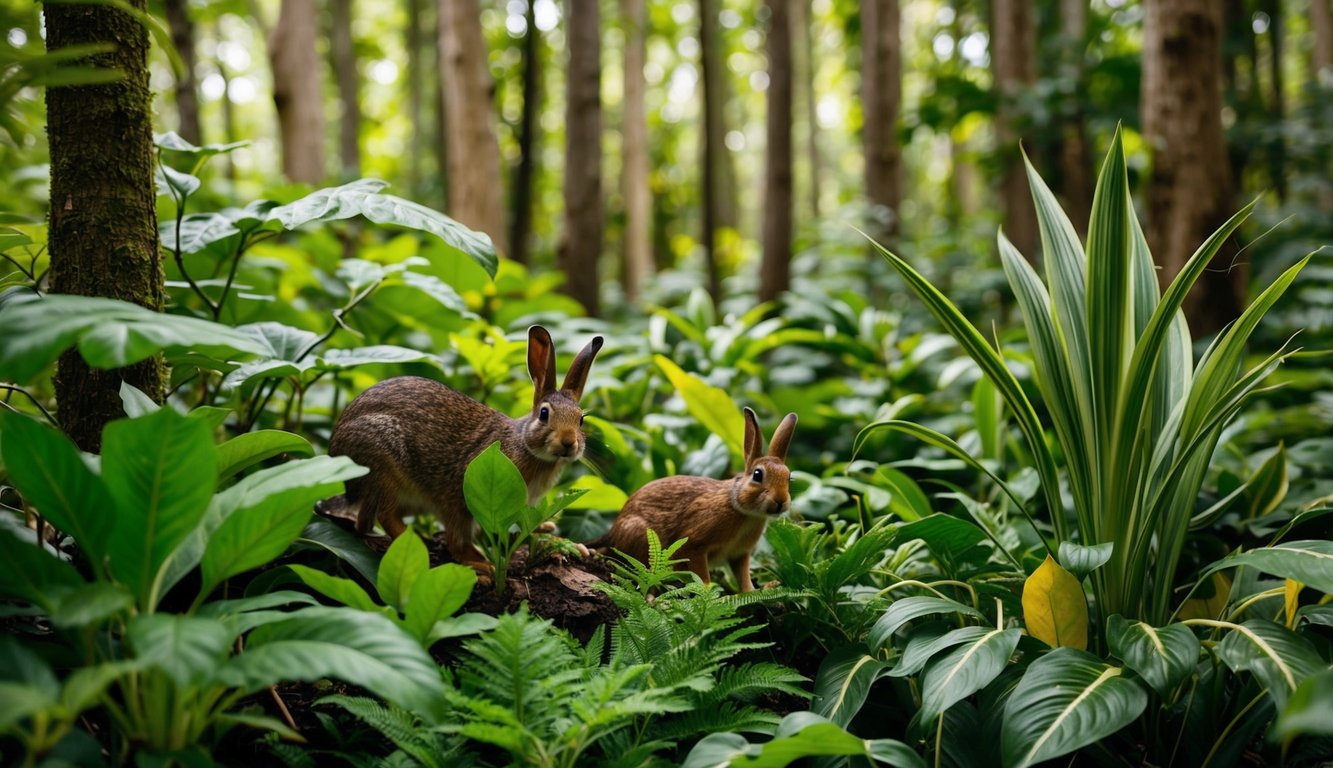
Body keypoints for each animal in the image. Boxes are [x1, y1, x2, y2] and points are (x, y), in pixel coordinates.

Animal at [319, 324, 602, 570]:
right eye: (544, 414)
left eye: (581, 419)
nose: (569, 442)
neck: (524, 444)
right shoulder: (459, 499)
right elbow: (457, 540)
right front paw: (479, 565)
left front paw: (564, 540)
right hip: (382, 465)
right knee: (384, 515)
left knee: (363, 523)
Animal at [599, 408, 794, 594]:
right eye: (757, 475)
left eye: (789, 477)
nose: (780, 501)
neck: (743, 510)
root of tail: (613, 534)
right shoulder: (694, 545)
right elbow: (701, 575)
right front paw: (708, 593)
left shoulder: (739, 555)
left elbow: (743, 577)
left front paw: (752, 592)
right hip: (641, 536)